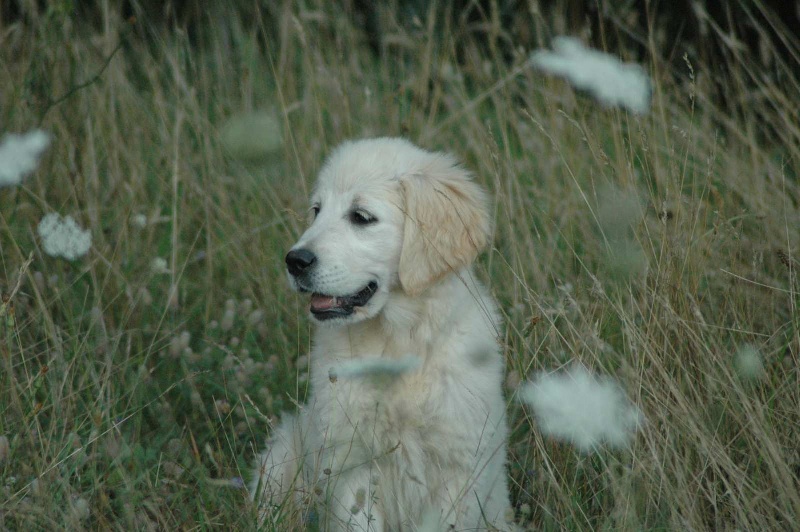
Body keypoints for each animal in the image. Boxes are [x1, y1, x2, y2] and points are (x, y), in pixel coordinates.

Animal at [252, 139, 512, 528]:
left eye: (361, 217)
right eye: (316, 211)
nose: (294, 261)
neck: (398, 341)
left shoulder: (458, 468)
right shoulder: (351, 465)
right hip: (280, 458)